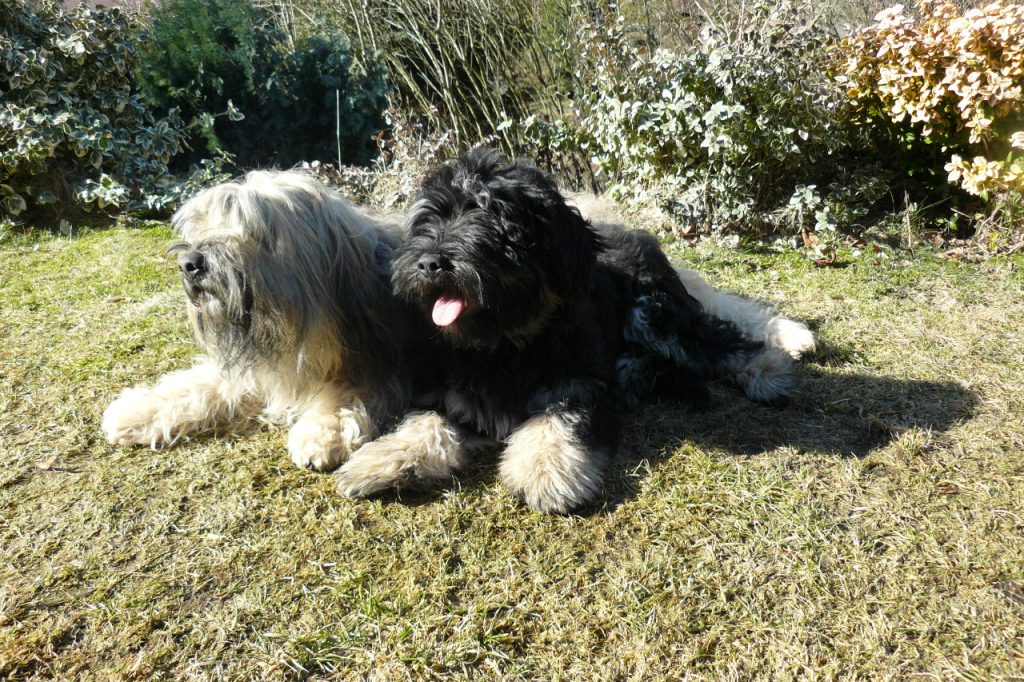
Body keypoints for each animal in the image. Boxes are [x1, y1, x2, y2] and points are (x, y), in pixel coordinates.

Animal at [335, 148, 790, 509]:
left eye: (495, 220)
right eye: (428, 220)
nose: (430, 263)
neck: (504, 344)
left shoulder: (580, 382)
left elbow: (560, 418)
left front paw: (545, 469)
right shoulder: (452, 391)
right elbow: (424, 422)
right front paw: (380, 460)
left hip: (655, 314)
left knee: (718, 340)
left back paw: (770, 371)